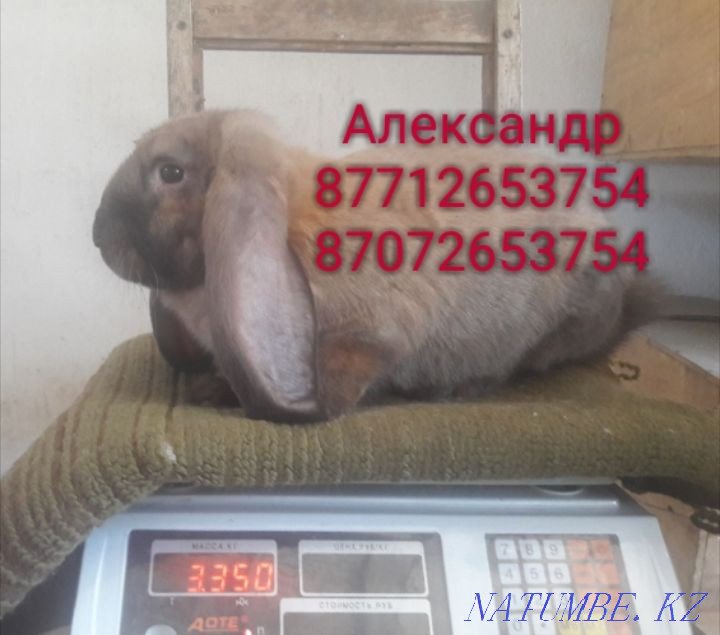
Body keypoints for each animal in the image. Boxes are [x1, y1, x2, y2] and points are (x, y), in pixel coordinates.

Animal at [93, 109, 657, 422]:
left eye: (170, 173)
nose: (99, 237)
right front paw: (211, 389)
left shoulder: (367, 335)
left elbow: (345, 376)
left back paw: (454, 389)